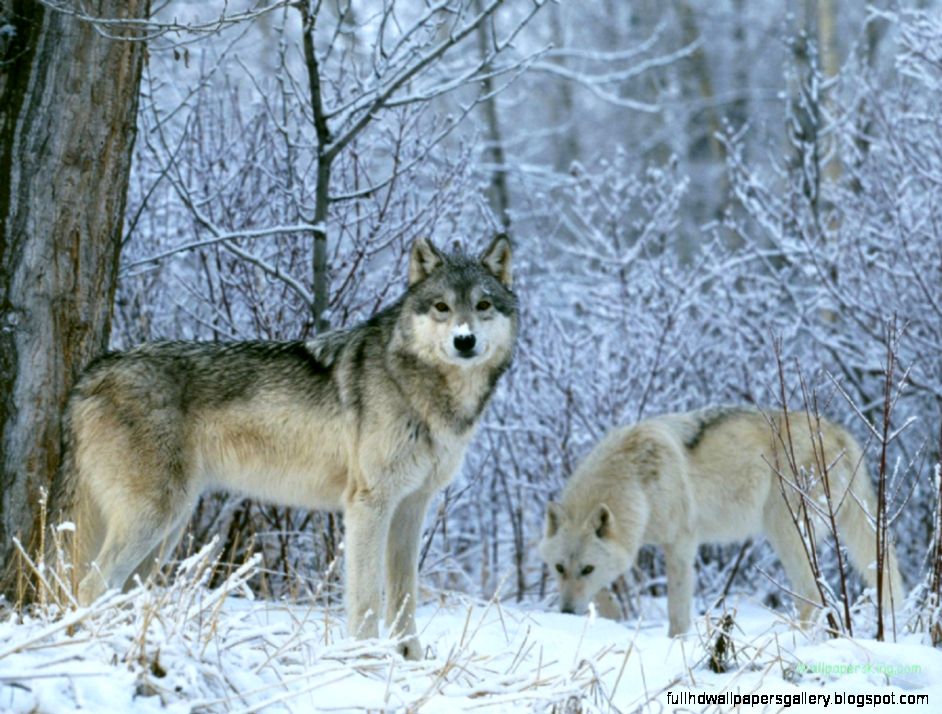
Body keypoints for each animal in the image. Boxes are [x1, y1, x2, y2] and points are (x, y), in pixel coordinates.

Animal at [49, 235, 517, 659]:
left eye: (483, 306)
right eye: (442, 307)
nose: (464, 340)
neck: (425, 390)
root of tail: (91, 374)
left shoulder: (411, 507)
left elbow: (404, 598)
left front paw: (409, 661)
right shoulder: (369, 504)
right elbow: (366, 598)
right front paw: (365, 661)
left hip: (167, 531)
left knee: (120, 590)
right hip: (155, 519)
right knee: (90, 584)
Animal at [539, 407, 905, 636]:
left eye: (586, 568)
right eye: (559, 568)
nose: (566, 612)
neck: (636, 480)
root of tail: (840, 433)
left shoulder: (681, 545)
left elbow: (677, 612)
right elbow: (607, 594)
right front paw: (609, 616)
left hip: (785, 532)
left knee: (812, 594)